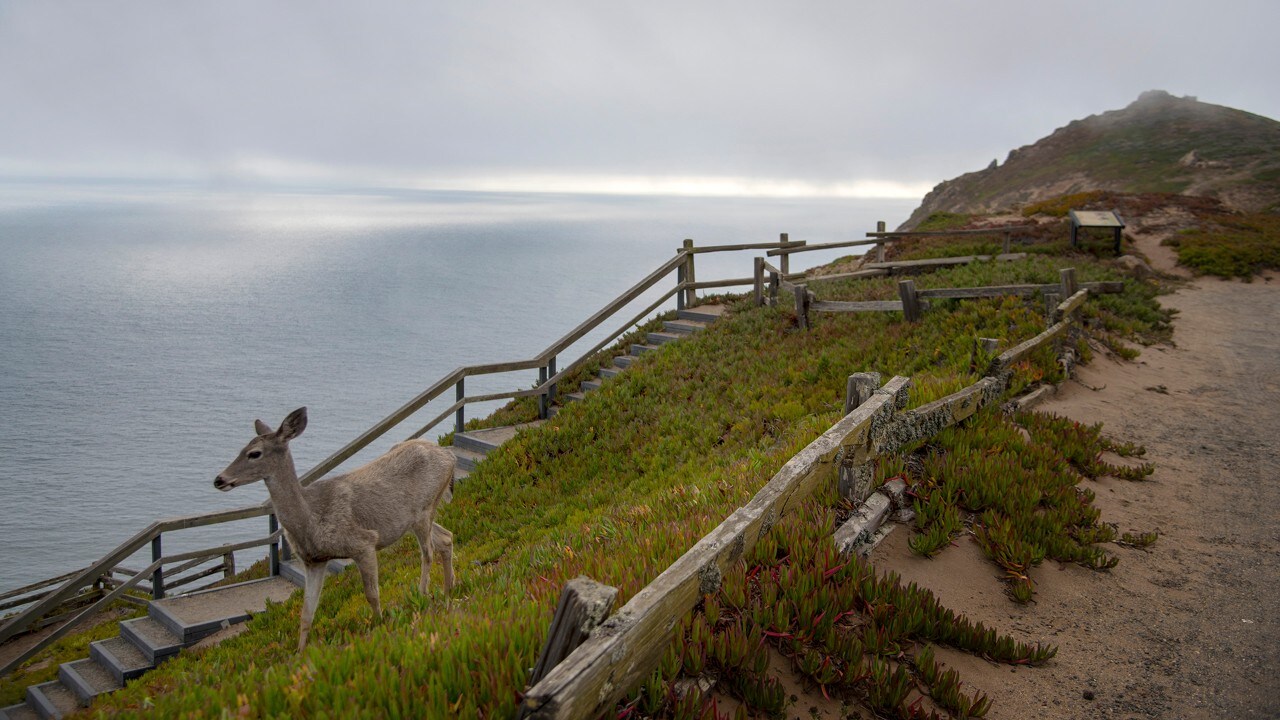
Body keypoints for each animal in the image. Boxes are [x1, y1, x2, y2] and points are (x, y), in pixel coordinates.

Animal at [208, 407, 450, 648]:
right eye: (242, 448)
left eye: (254, 453)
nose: (219, 480)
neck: (309, 519)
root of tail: (449, 456)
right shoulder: (313, 561)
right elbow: (306, 613)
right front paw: (300, 652)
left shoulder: (363, 543)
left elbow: (372, 594)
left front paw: (379, 625)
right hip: (418, 518)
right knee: (446, 537)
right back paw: (450, 588)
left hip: (423, 510)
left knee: (427, 553)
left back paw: (423, 594)